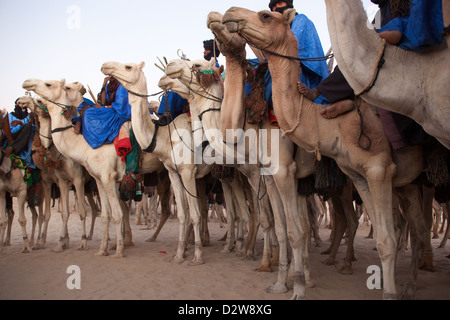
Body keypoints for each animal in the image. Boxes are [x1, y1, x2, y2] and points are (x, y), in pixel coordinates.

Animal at [17, 96, 100, 251]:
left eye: (39, 101)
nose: (20, 100)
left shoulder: (77, 179)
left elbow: (81, 212)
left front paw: (81, 241)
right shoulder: (54, 181)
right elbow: (58, 213)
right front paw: (58, 241)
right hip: (89, 187)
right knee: (94, 209)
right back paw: (92, 234)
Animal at [220, 6, 430, 298]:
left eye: (265, 15)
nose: (229, 12)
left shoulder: (376, 168)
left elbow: (299, 231)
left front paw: (298, 286)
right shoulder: (353, 175)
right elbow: (285, 228)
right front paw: (280, 282)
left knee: (405, 228)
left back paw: (399, 282)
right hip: (405, 184)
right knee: (409, 226)